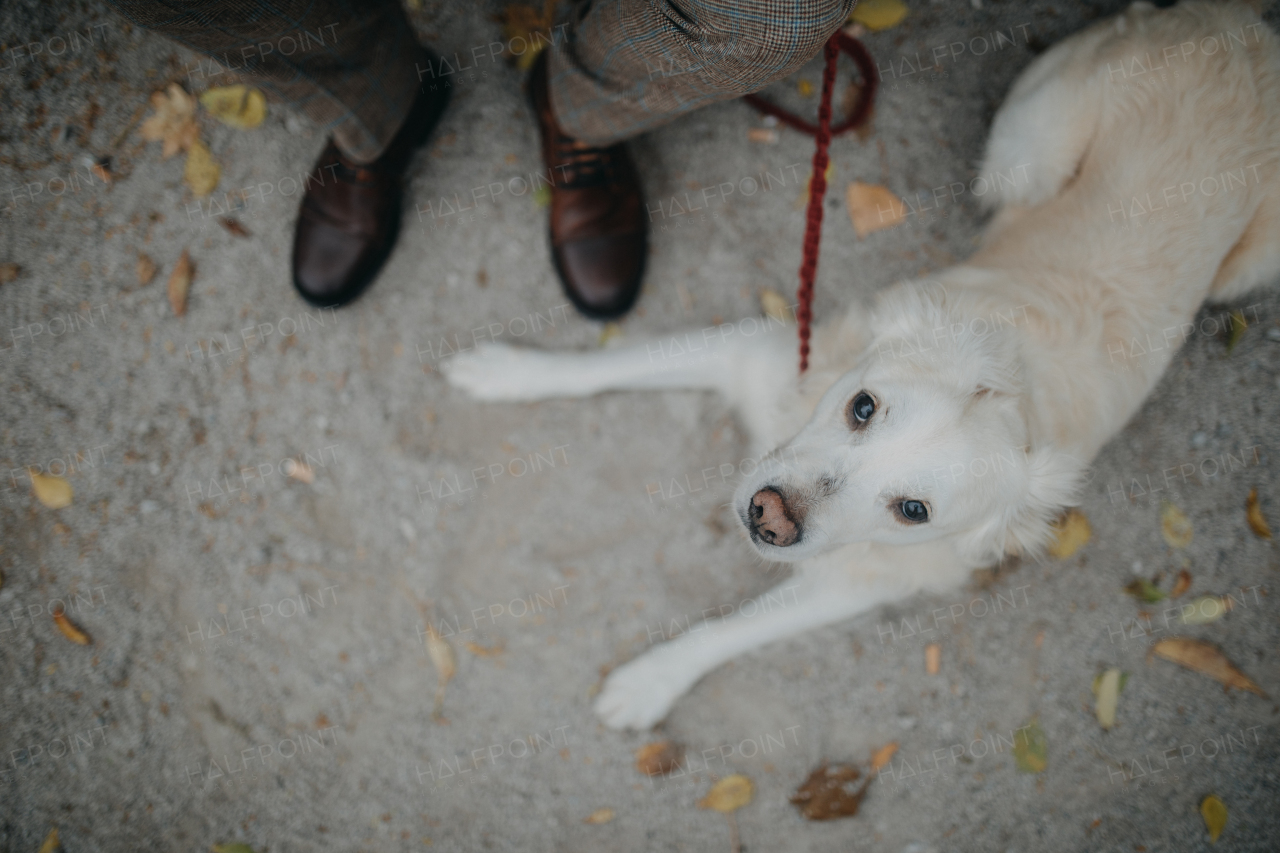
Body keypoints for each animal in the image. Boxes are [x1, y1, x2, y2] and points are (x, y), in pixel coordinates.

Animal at [442, 0, 1280, 727]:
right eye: (863, 407)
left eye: (913, 510)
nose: (768, 516)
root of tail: (1242, 26)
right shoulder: (756, 351)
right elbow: (608, 364)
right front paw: (508, 372)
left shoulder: (854, 579)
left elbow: (731, 630)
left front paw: (650, 681)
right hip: (1025, 155)